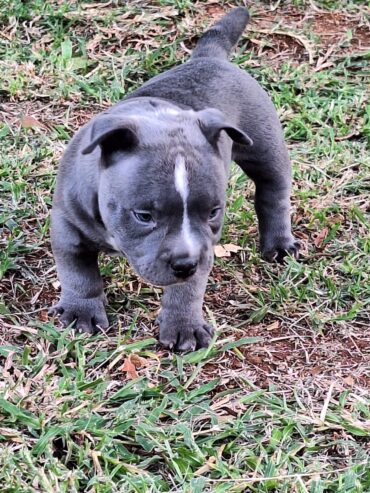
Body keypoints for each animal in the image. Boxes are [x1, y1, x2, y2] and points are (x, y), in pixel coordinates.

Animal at [49, 6, 300, 350]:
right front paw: (80, 313)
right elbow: (77, 272)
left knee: (273, 192)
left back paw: (279, 244)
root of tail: (210, 57)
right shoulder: (67, 225)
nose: (185, 264)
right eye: (143, 216)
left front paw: (184, 327)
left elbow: (187, 290)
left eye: (213, 212)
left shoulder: (199, 247)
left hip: (265, 146)